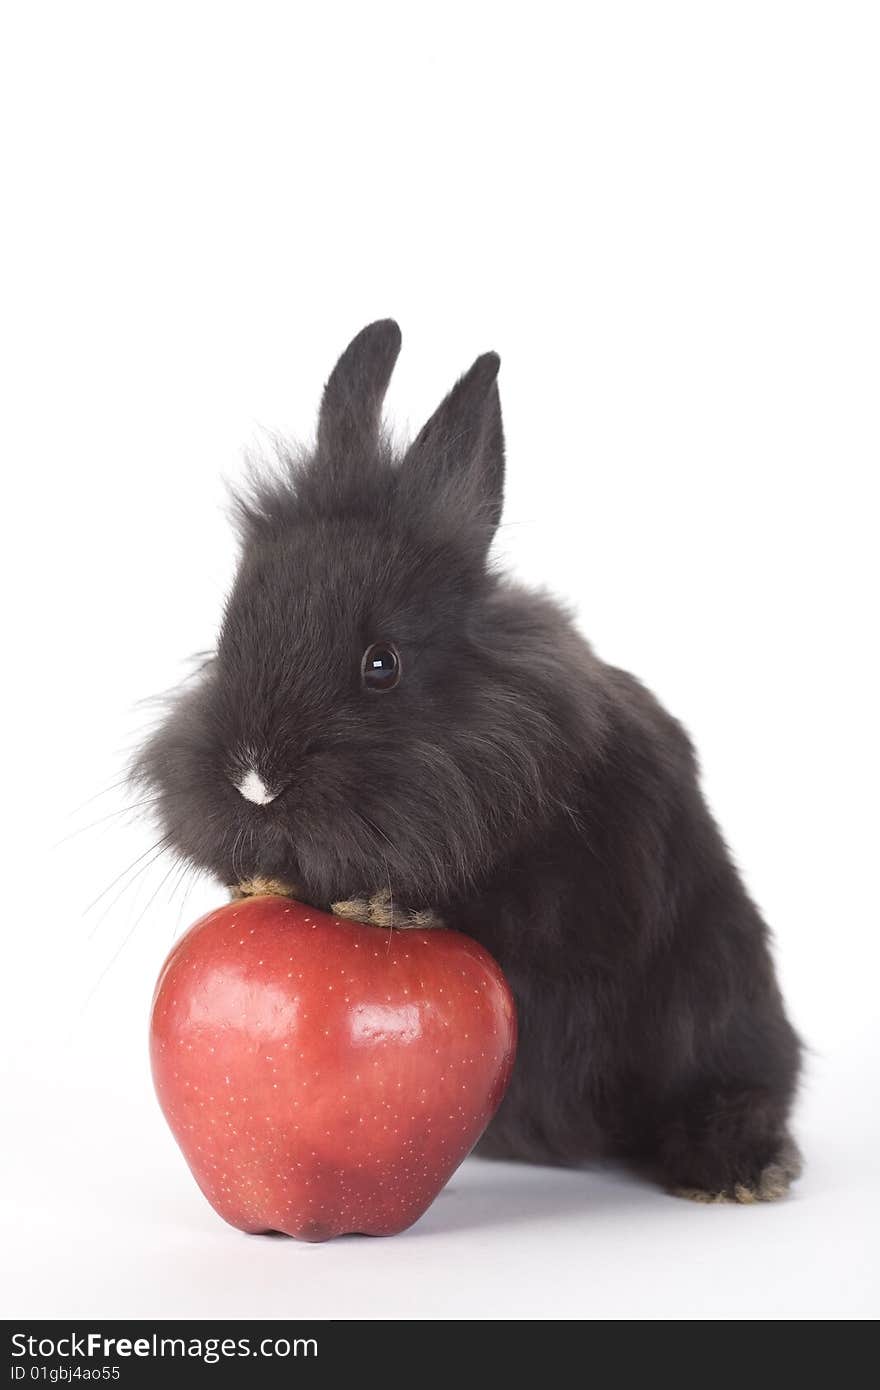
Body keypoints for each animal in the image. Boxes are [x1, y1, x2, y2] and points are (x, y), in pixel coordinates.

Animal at [134, 319, 800, 1200]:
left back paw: (738, 1168)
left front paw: (384, 907)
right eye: (227, 637)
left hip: (717, 991)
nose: (256, 782)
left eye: (381, 664)